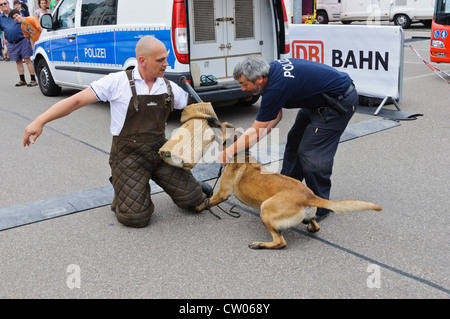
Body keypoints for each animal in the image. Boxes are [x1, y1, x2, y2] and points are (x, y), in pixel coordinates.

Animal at [195, 118, 382, 250]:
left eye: (223, 125)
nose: (210, 117)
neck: (239, 153)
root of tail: (309, 195)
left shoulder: (222, 193)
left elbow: (208, 201)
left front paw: (196, 208)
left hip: (265, 209)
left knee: (280, 242)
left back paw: (260, 244)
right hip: (301, 215)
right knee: (315, 226)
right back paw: (309, 227)